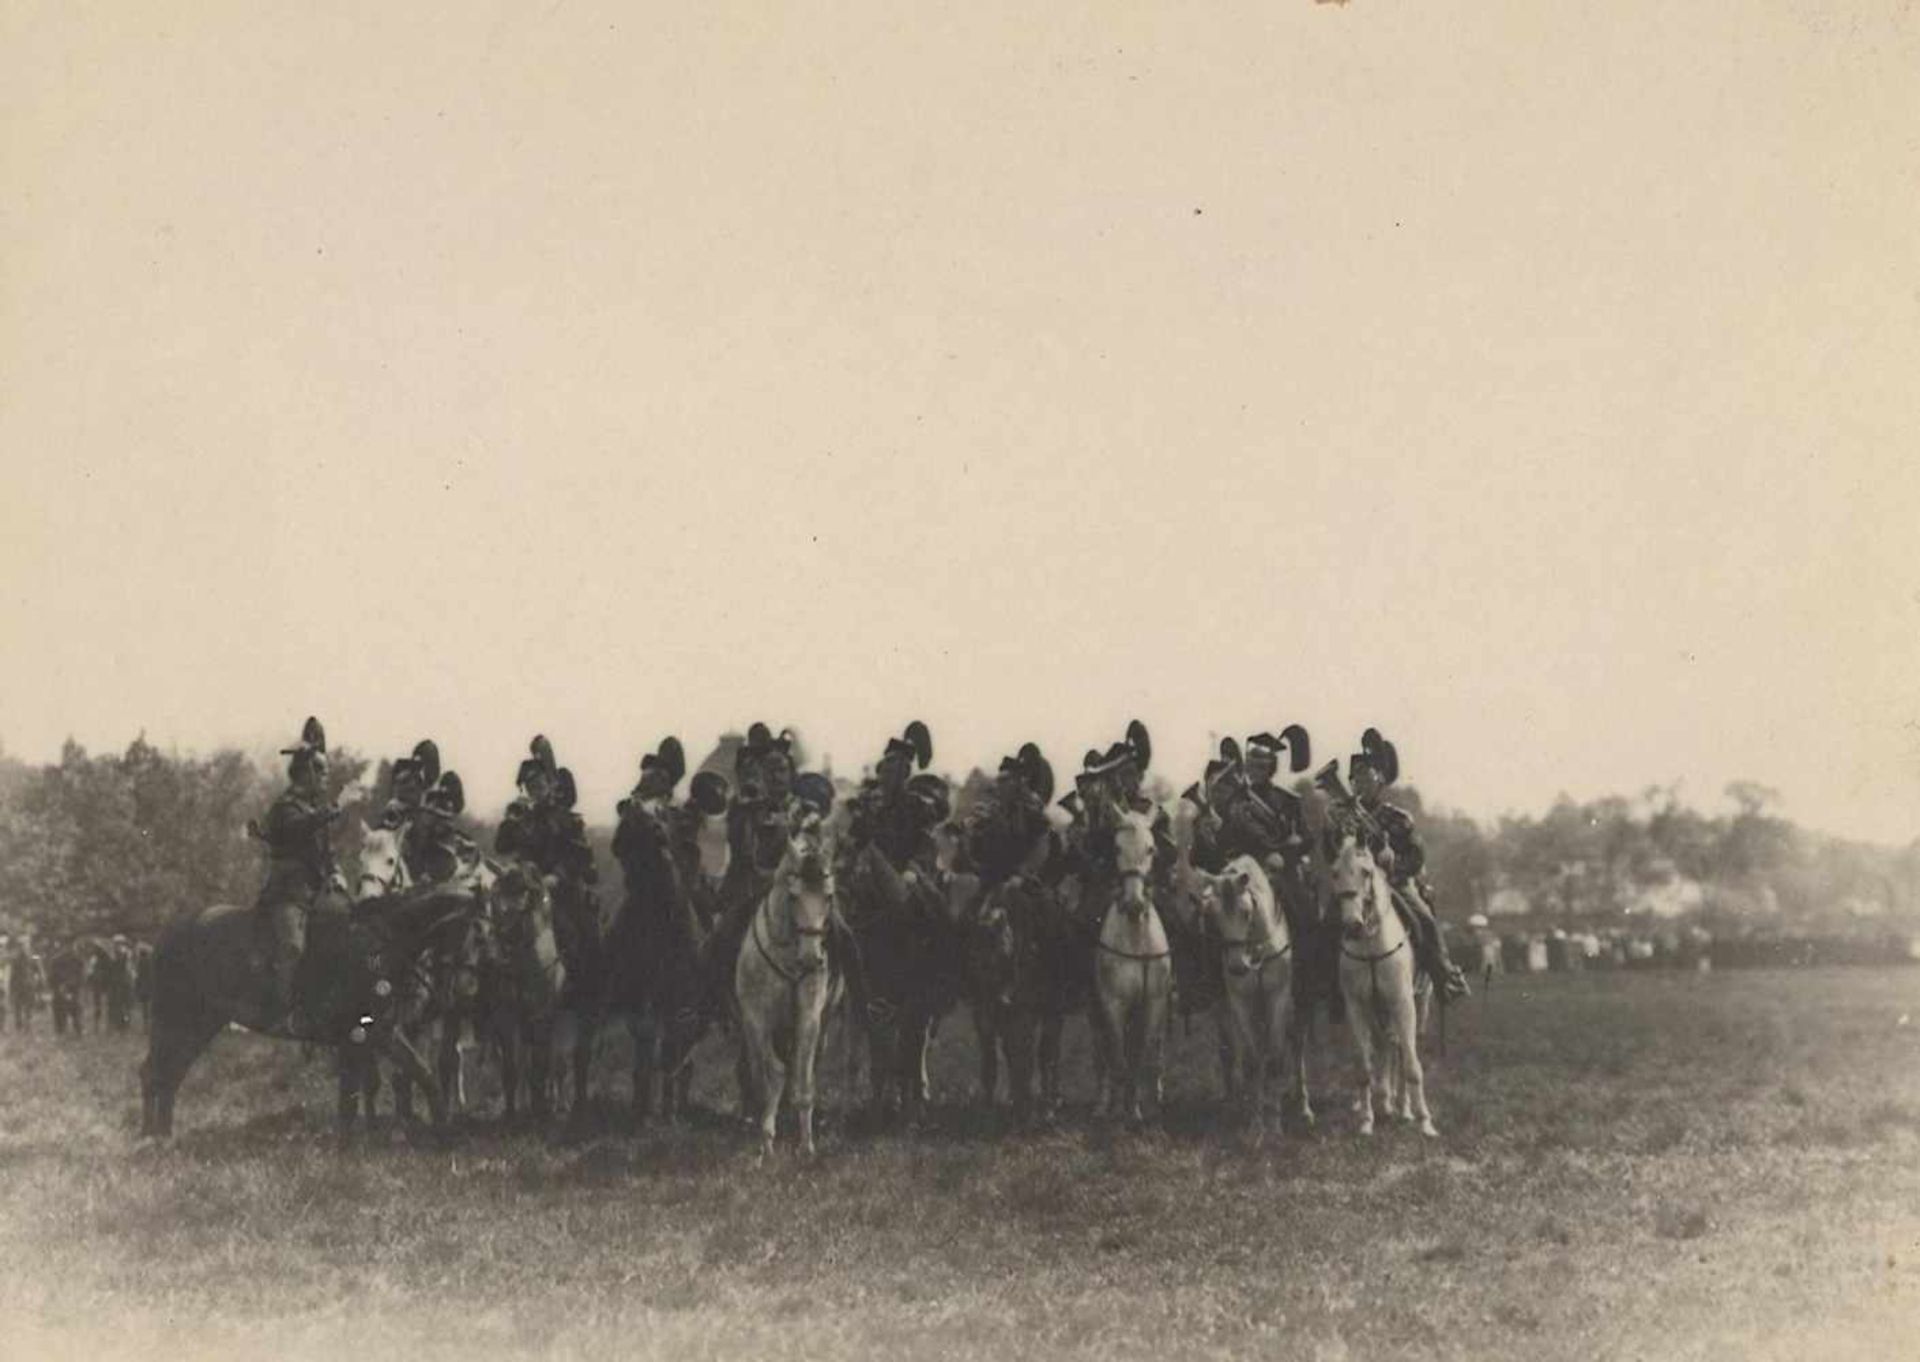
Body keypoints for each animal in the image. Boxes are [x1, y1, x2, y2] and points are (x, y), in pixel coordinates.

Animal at [140, 829, 480, 1137]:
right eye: (472, 930)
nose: (460, 990)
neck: (377, 941)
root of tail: (168, 934)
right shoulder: (360, 1036)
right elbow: (354, 1096)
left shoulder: (381, 1032)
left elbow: (419, 1075)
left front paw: (440, 1130)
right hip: (178, 1020)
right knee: (157, 1071)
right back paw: (152, 1136)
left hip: (202, 1023)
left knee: (169, 1073)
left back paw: (163, 1134)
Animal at [729, 806, 844, 1160]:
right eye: (793, 898)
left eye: (829, 896)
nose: (810, 960)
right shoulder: (756, 1019)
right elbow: (771, 1075)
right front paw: (766, 1142)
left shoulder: (809, 1017)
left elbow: (802, 1080)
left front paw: (806, 1146)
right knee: (759, 1070)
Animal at [1182, 856, 1305, 1129]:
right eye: (1214, 916)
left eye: (1247, 913)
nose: (1238, 967)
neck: (1256, 949)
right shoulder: (1240, 1002)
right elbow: (1251, 1059)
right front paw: (1256, 1122)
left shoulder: (1278, 997)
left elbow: (1276, 1058)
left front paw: (1274, 1123)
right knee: (1230, 1050)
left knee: (1296, 1045)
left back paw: (1303, 1105)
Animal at [1336, 829, 1443, 1137]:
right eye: (1335, 873)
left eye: (1366, 871)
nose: (1352, 925)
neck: (1372, 946)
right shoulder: (1358, 1007)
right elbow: (1364, 1066)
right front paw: (1366, 1121)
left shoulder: (1402, 1003)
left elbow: (1412, 1065)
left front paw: (1425, 1121)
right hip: (1379, 1011)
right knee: (1386, 1047)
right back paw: (1385, 1103)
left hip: (1416, 1004)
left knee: (1401, 1050)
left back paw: (1404, 1109)